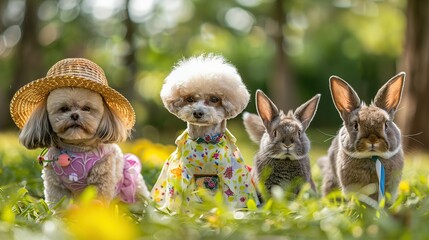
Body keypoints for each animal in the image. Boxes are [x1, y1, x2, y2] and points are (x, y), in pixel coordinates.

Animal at [10, 58, 149, 206]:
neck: (77, 147)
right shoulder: (55, 185)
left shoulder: (100, 182)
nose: (75, 115)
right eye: (64, 109)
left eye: (86, 109)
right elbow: (60, 204)